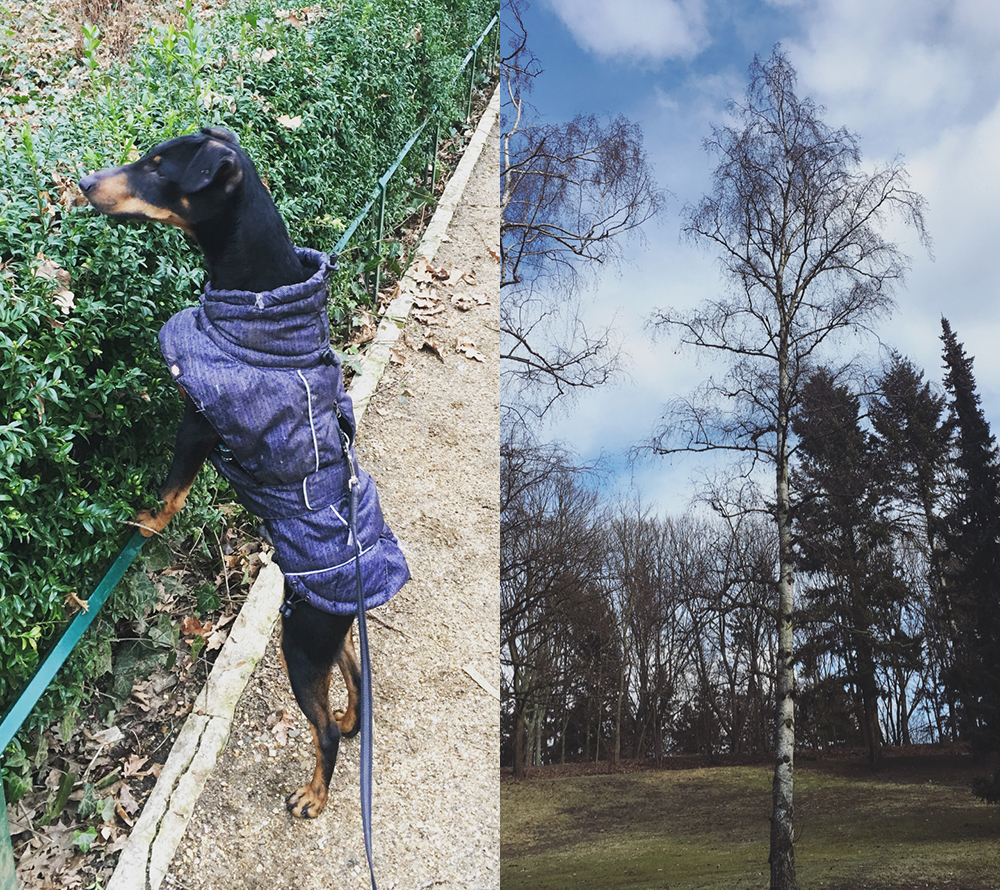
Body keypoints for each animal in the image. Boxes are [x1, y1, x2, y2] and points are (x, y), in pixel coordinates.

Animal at [77, 128, 406, 816]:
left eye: (157, 167)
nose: (86, 182)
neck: (262, 303)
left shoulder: (198, 422)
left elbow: (172, 490)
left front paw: (145, 522)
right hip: (320, 631)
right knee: (356, 680)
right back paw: (350, 721)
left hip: (300, 644)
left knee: (322, 729)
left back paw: (313, 796)